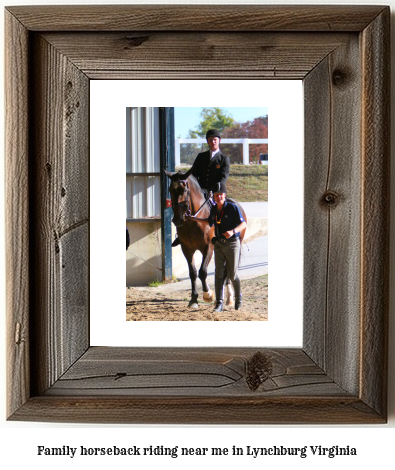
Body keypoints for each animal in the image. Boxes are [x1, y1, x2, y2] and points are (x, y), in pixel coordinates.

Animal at [165, 171, 248, 310]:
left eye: (184, 190)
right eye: (170, 189)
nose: (177, 220)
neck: (193, 221)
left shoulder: (208, 247)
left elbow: (202, 272)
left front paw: (208, 295)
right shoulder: (186, 248)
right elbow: (193, 272)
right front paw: (194, 299)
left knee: (228, 271)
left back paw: (229, 298)